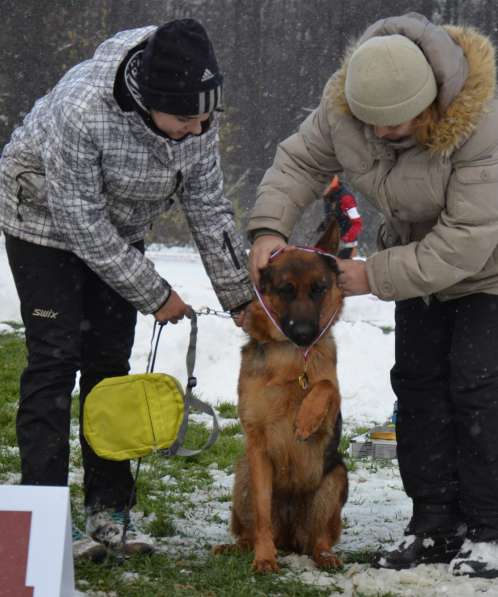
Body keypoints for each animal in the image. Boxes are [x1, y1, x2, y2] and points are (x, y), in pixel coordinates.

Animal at [216, 219, 348, 572]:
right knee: (250, 530)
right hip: (244, 473)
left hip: (334, 479)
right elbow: (262, 517)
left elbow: (327, 387)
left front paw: (305, 419)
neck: (291, 359)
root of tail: (290, 537)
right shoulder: (258, 447)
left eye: (319, 288)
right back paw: (239, 547)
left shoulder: (331, 417)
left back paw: (325, 556)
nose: (304, 335)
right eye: (285, 290)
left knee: (319, 539)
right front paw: (264, 558)